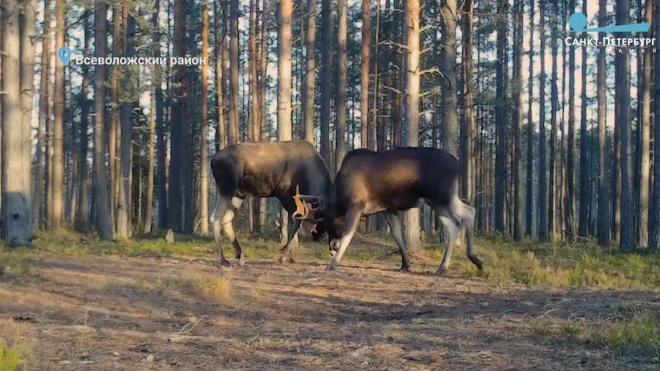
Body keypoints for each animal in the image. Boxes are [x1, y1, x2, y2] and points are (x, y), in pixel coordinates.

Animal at [210, 140, 332, 268]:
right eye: (323, 219)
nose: (319, 236)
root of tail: (212, 160)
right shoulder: (284, 193)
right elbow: (296, 222)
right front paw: (284, 255)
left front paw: (288, 256)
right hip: (227, 187)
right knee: (215, 217)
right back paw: (222, 259)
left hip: (239, 194)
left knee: (226, 219)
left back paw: (240, 255)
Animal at [292, 147, 482, 276]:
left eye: (328, 223)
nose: (331, 246)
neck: (338, 197)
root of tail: (458, 165)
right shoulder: (388, 209)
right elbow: (397, 235)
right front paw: (405, 264)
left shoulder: (356, 205)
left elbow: (347, 236)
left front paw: (333, 264)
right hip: (436, 202)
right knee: (455, 223)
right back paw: (443, 267)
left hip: (443, 195)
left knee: (469, 212)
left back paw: (474, 259)